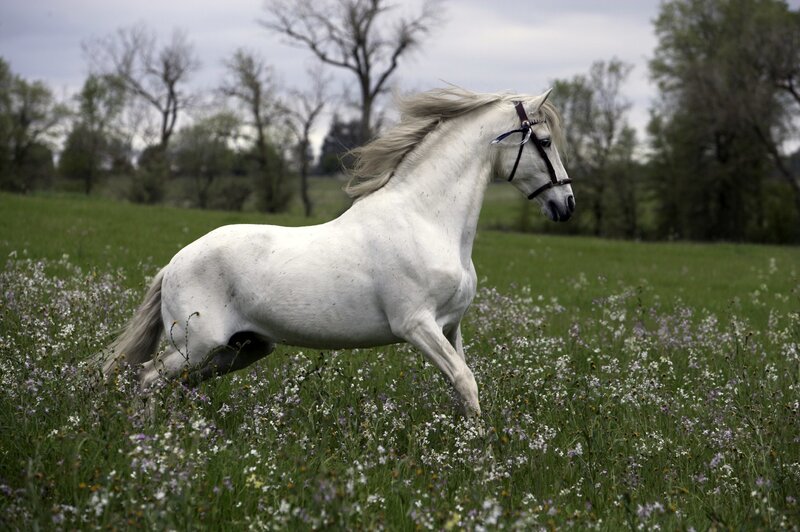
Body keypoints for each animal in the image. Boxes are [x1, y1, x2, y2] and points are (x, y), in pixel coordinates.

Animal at [97, 87, 574, 417]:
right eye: (545, 141)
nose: (566, 205)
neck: (427, 220)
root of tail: (174, 263)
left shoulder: (451, 325)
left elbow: (464, 384)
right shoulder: (415, 324)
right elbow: (465, 380)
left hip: (241, 349)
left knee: (176, 385)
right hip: (196, 344)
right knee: (146, 379)